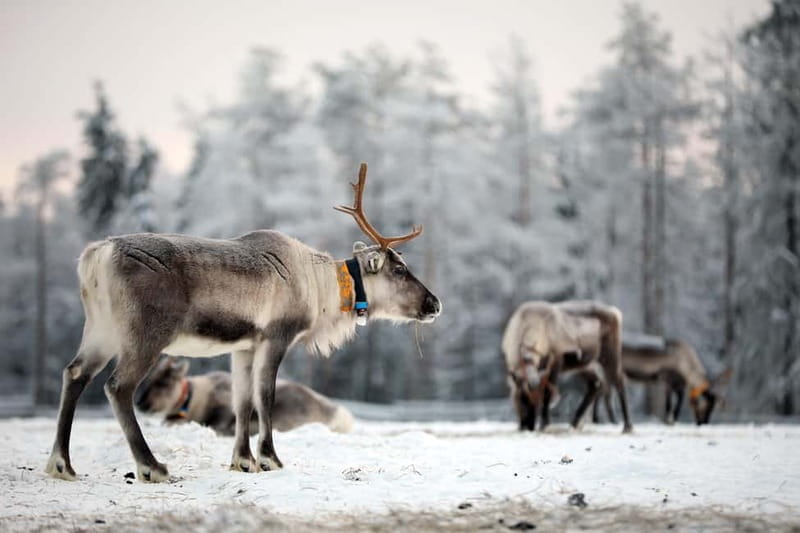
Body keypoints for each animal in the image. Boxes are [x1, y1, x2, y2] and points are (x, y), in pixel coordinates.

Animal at [503, 300, 632, 433]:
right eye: (521, 398)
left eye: (537, 401)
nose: (527, 426)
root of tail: (615, 312)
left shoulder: (556, 361)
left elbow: (548, 392)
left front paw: (544, 424)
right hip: (585, 365)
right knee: (595, 384)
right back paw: (574, 424)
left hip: (609, 355)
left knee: (620, 381)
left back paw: (627, 427)